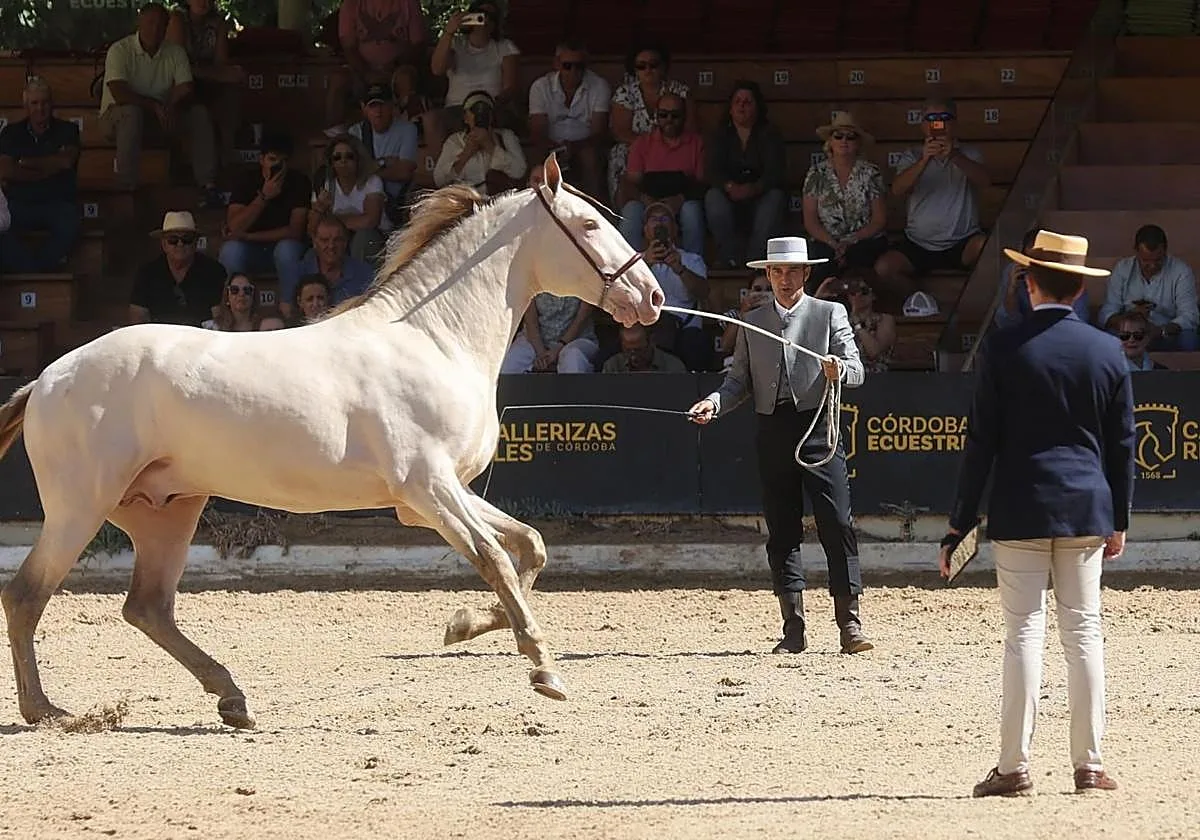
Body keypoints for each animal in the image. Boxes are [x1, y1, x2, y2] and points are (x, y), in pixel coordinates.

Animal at [0, 153, 664, 729]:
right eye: (588, 225)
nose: (651, 298)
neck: (434, 338)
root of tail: (46, 379)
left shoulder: (439, 493)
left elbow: (530, 547)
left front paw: (465, 625)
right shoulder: (428, 490)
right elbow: (496, 557)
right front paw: (544, 669)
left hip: (165, 510)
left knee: (147, 606)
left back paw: (232, 700)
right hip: (82, 507)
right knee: (28, 594)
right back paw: (47, 711)